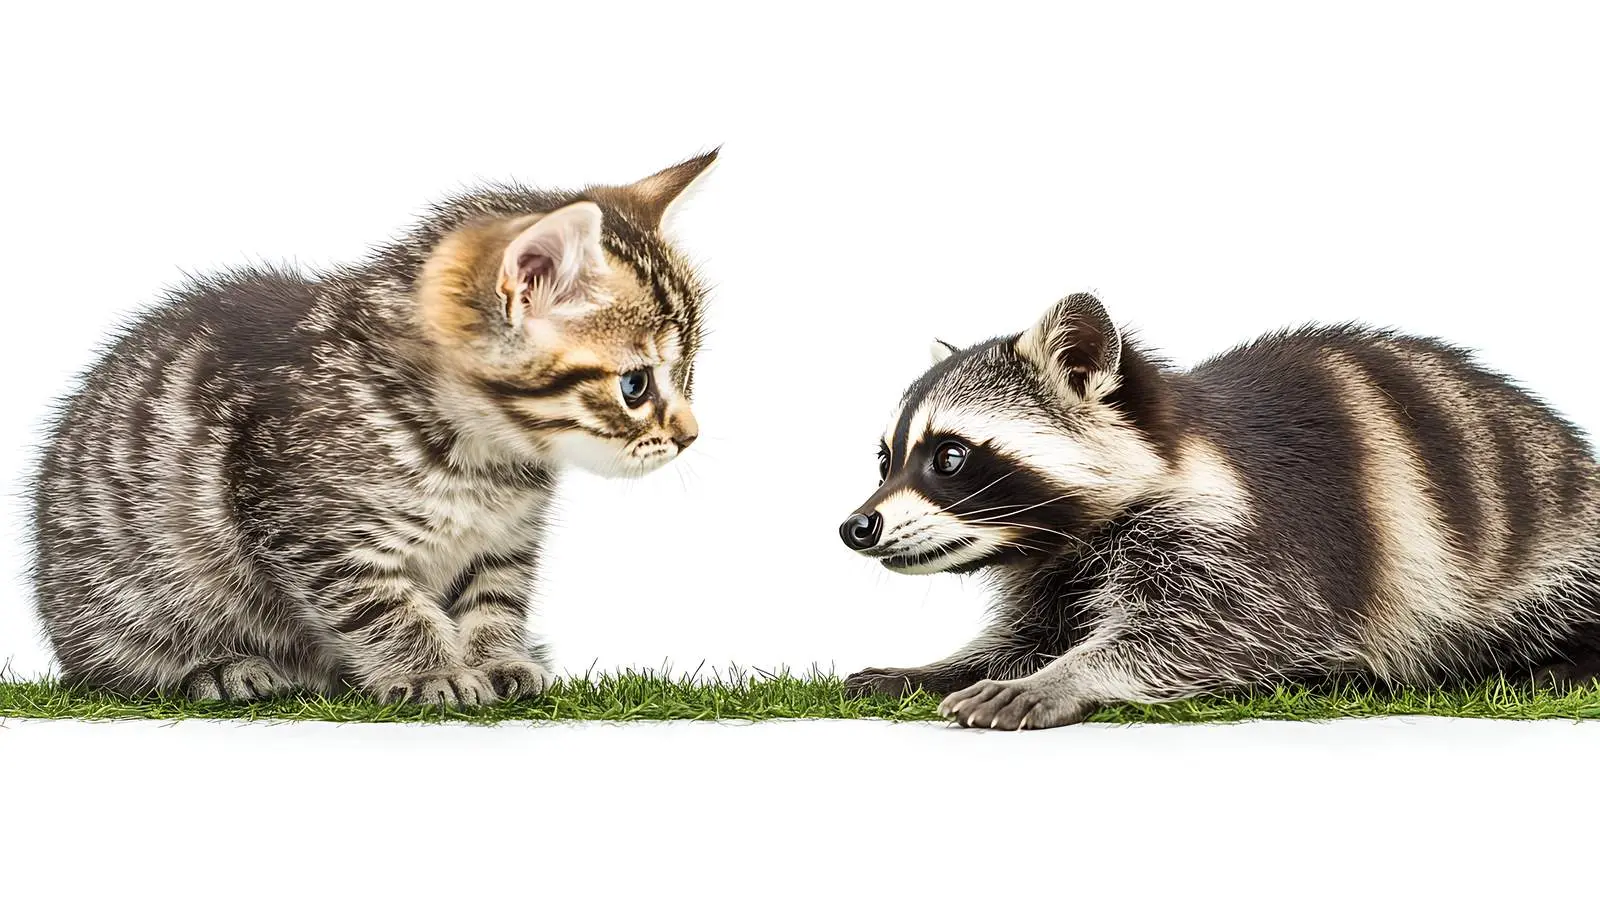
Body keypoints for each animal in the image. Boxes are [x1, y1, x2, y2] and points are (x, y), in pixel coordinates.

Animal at [30, 151, 718, 706]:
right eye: (635, 386)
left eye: (686, 371)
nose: (691, 436)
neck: (484, 455)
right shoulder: (309, 524)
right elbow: (384, 607)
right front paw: (430, 673)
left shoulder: (505, 541)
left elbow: (495, 595)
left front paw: (499, 659)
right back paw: (220, 669)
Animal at [840, 292, 1600, 729]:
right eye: (885, 461)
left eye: (948, 457)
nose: (856, 526)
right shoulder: (1057, 568)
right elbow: (1027, 634)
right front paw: (943, 668)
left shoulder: (1253, 534)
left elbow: (1226, 630)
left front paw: (1066, 675)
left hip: (1551, 533)